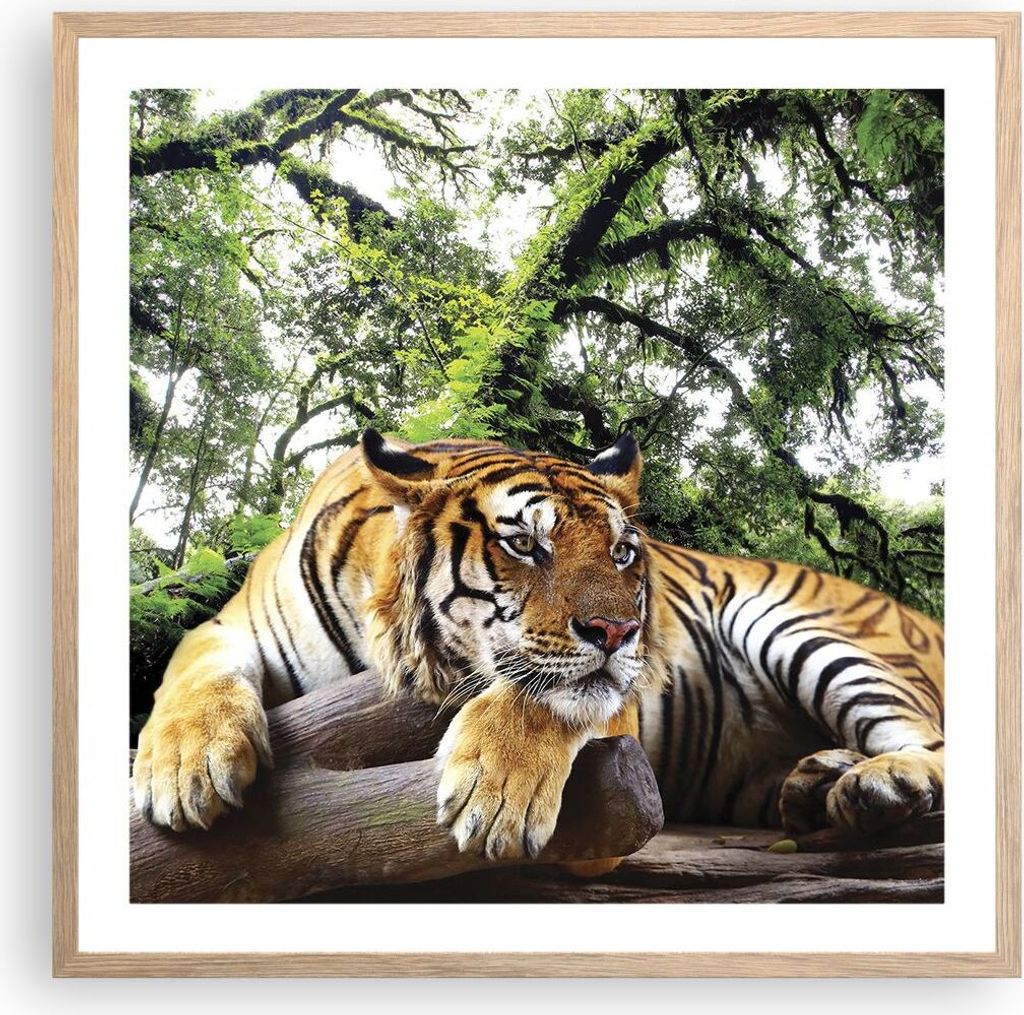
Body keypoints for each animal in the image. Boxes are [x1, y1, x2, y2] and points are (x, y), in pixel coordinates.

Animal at [132, 430, 945, 864]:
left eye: (622, 552)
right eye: (524, 543)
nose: (620, 632)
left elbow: (549, 696)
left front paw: (495, 797)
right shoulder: (227, 626)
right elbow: (192, 672)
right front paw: (186, 768)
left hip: (795, 625)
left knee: (934, 745)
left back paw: (877, 784)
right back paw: (815, 781)